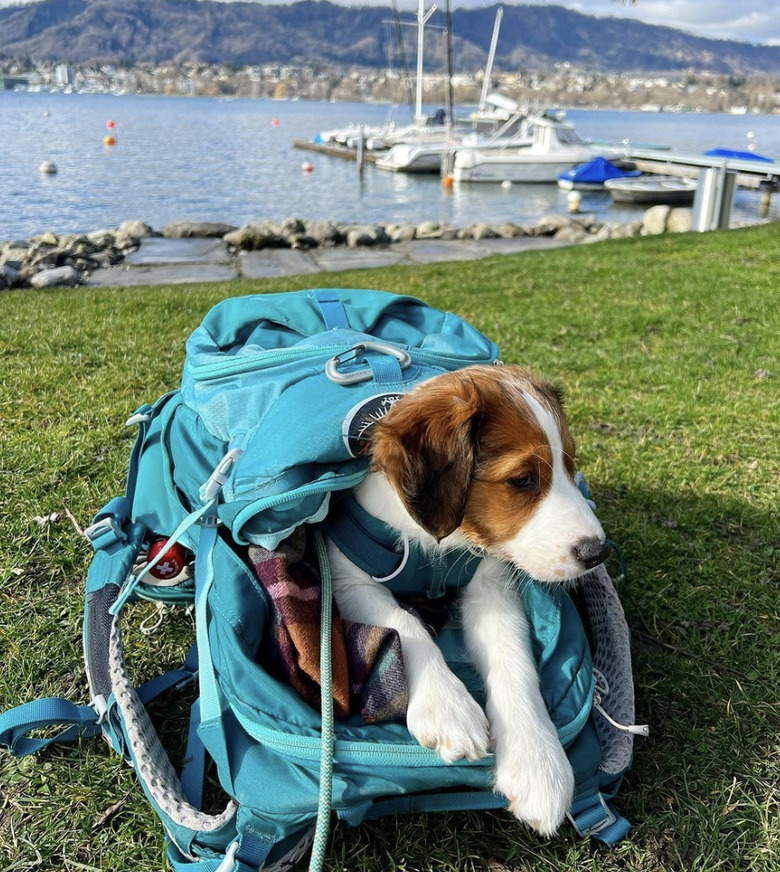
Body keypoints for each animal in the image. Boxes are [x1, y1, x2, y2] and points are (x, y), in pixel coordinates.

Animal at [326, 364, 608, 836]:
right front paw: (447, 708)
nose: (597, 553)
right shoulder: (348, 580)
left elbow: (514, 661)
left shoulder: (491, 586)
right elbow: (404, 623)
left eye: (570, 466)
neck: (437, 543)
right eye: (522, 479)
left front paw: (538, 760)